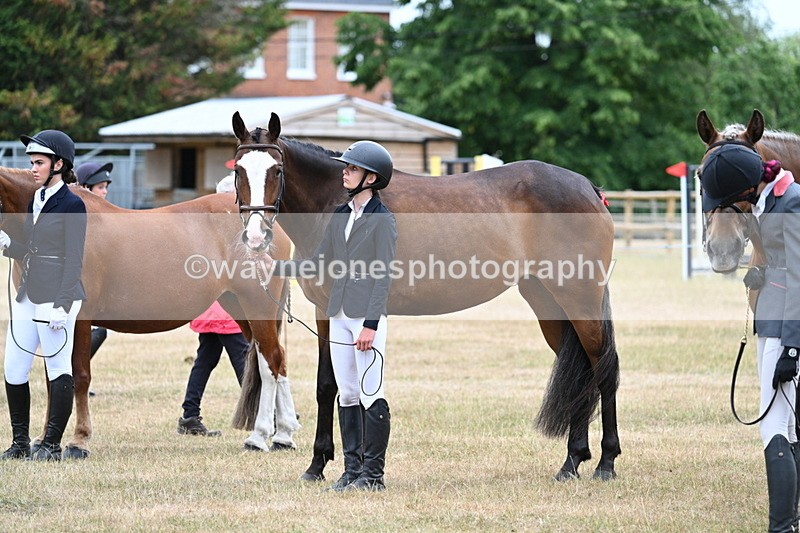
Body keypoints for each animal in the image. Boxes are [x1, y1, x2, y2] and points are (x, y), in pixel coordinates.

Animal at [0, 167, 300, 457]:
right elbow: (54, 380)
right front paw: (42, 440)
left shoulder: (80, 319)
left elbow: (79, 377)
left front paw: (78, 441)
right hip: (238, 306)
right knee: (275, 359)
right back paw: (283, 436)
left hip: (257, 305)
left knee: (271, 361)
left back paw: (260, 437)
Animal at [229, 111, 622, 482]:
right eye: (238, 171)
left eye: (277, 170)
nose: (255, 238)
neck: (338, 204)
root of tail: (588, 187)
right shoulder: (326, 311)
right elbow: (328, 386)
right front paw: (317, 466)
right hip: (548, 304)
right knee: (582, 374)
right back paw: (572, 461)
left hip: (580, 301)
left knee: (604, 370)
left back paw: (605, 463)